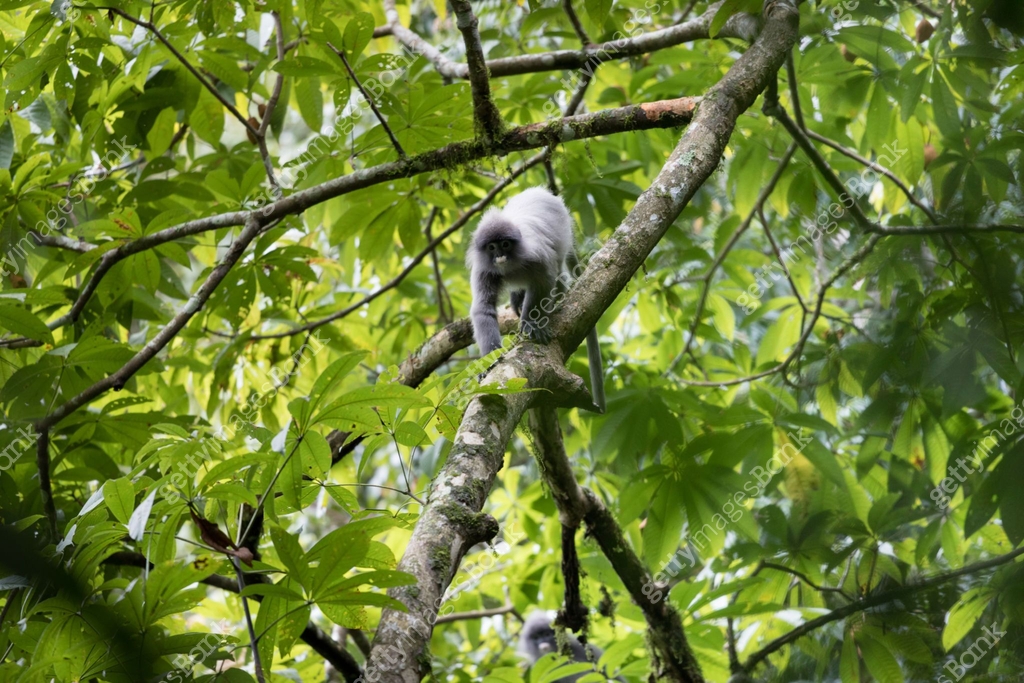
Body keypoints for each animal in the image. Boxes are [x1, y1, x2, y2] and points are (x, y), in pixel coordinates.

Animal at [466, 187, 605, 413]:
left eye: (505, 244)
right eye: (492, 247)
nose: (500, 256)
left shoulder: (537, 255)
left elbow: (544, 280)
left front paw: (531, 323)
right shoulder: (483, 270)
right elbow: (483, 308)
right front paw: (490, 362)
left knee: (558, 276)